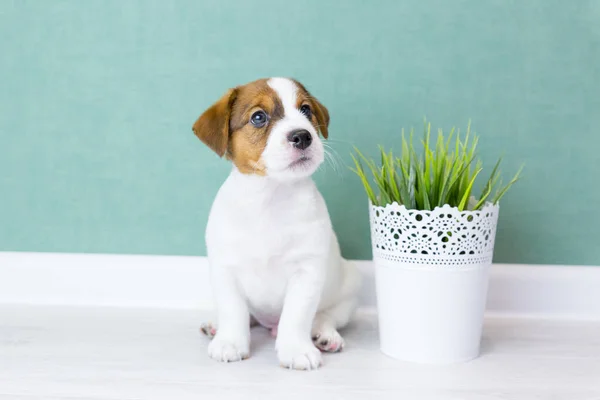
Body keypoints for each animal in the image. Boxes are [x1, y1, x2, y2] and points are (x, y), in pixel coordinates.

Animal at [192, 76, 360, 370]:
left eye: (306, 110)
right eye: (259, 117)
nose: (303, 135)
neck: (271, 196)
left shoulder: (306, 273)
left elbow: (297, 316)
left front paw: (296, 349)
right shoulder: (225, 270)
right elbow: (233, 310)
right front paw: (230, 342)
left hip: (348, 289)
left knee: (325, 316)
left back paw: (326, 335)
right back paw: (216, 325)